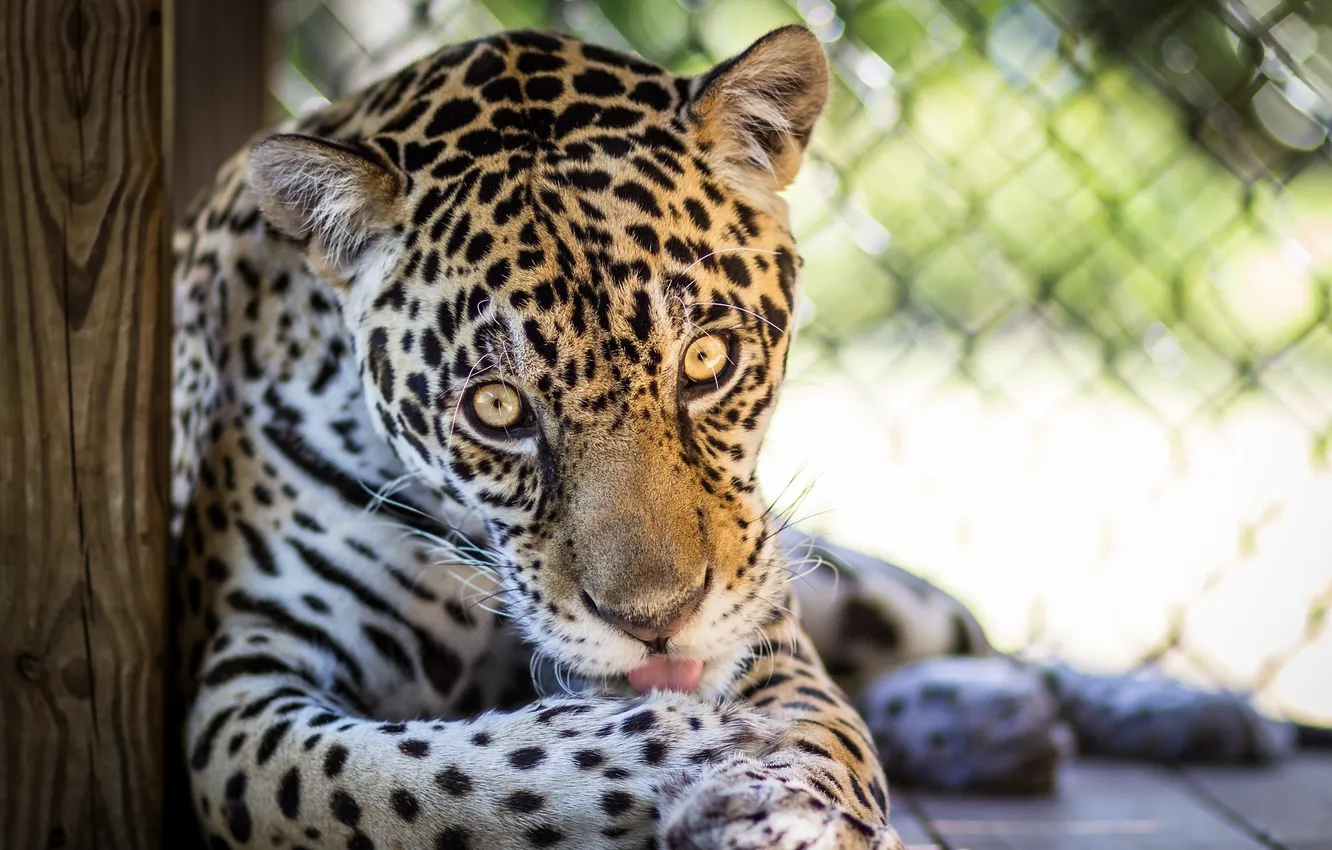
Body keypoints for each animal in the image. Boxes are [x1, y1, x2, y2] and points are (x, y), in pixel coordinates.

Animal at [173, 23, 1321, 850]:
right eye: (496, 410)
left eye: (707, 360)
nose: (656, 623)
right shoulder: (240, 692)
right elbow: (411, 779)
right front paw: (685, 751)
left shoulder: (765, 614)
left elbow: (822, 730)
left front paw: (784, 801)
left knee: (980, 636)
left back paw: (1170, 716)